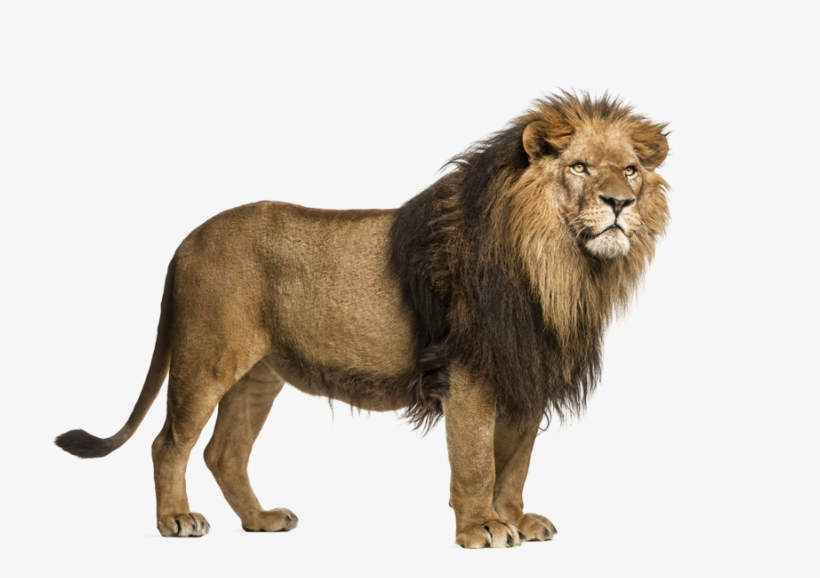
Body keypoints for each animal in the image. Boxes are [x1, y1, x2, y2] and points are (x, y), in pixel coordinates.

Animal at [55, 92, 670, 548]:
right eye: (580, 167)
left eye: (631, 171)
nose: (619, 203)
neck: (560, 268)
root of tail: (186, 240)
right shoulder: (469, 372)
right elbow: (475, 460)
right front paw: (482, 528)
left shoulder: (526, 373)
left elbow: (514, 463)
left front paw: (514, 520)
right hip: (204, 358)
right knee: (169, 443)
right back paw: (175, 521)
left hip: (260, 375)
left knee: (223, 451)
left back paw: (261, 521)